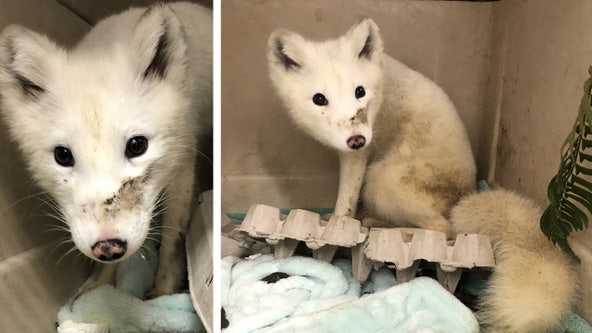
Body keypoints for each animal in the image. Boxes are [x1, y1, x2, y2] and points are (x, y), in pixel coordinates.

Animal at [0, 0, 213, 296]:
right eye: (62, 155)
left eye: (137, 145)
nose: (108, 247)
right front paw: (104, 283)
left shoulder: (183, 166)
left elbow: (172, 240)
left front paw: (161, 292)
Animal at [268, 18, 476, 236]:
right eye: (319, 99)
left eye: (360, 91)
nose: (357, 140)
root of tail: (467, 190)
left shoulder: (357, 156)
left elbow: (345, 201)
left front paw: (337, 225)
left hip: (379, 182)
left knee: (445, 229)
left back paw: (381, 227)